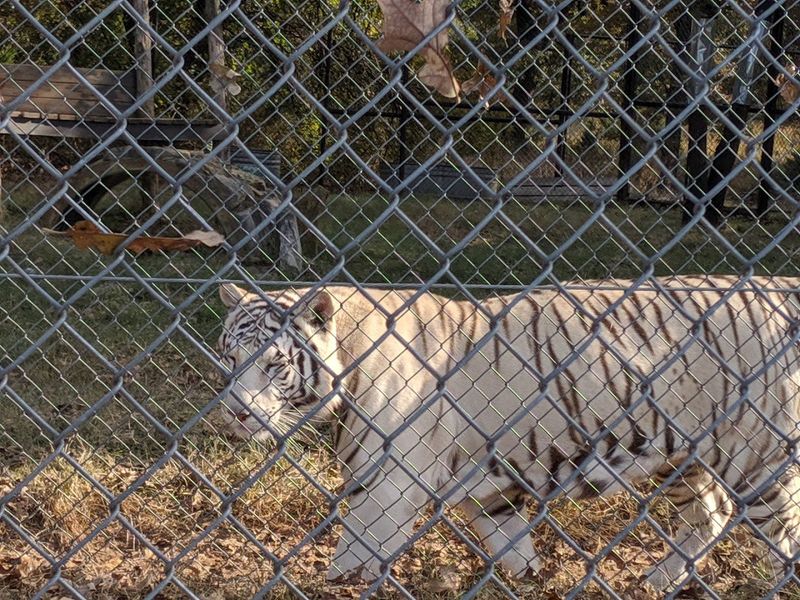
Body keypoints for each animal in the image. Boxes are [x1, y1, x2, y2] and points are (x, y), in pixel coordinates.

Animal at [216, 275, 800, 592]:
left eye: (273, 364)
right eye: (230, 358)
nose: (236, 412)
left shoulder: (387, 485)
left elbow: (357, 549)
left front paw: (340, 580)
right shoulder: (488, 486)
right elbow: (510, 542)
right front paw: (531, 577)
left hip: (757, 460)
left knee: (782, 532)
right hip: (681, 456)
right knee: (709, 515)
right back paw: (658, 582)